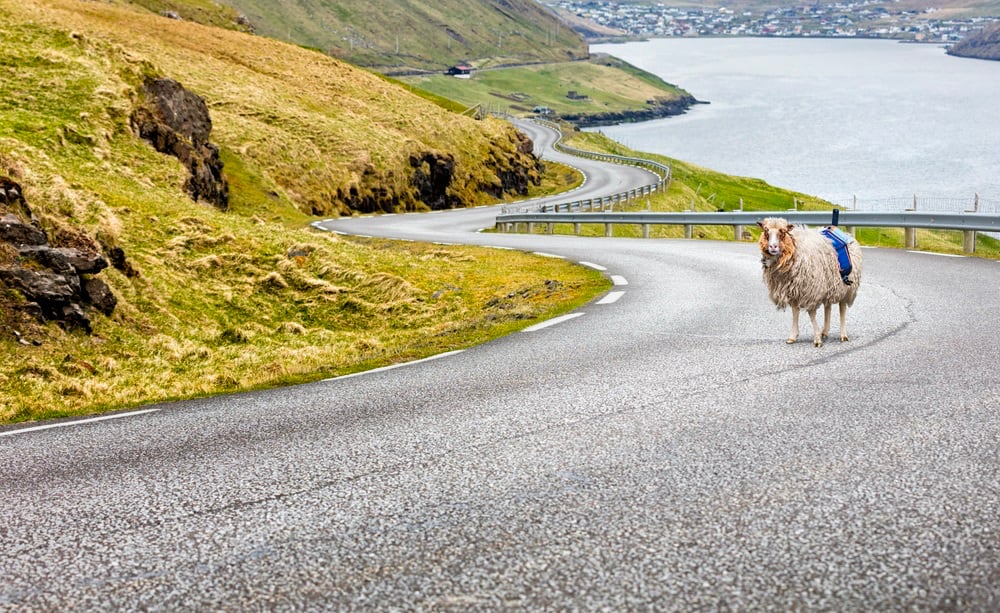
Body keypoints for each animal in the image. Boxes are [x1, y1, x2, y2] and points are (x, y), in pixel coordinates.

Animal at [752, 218, 864, 346]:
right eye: (766, 231)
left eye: (783, 232)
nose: (773, 247)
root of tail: (846, 234)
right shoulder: (793, 289)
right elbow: (795, 312)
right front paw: (793, 336)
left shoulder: (811, 290)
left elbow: (811, 314)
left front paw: (817, 339)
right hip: (829, 284)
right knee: (828, 307)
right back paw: (825, 331)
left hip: (846, 287)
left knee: (842, 308)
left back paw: (843, 335)